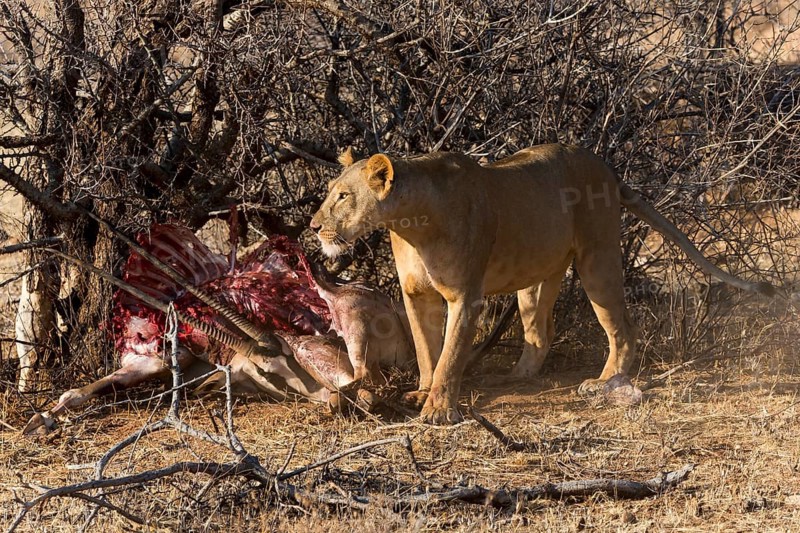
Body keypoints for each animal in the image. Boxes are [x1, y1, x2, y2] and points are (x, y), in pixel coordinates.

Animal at [310, 144, 775, 425]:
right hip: (536, 279)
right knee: (539, 332)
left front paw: (438, 410)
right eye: (330, 191)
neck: (411, 224)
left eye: (343, 197)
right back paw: (516, 376)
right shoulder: (417, 295)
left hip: (597, 259)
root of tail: (607, 168)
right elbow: (427, 352)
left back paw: (606, 383)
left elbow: (450, 354)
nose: (313, 227)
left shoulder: (466, 297)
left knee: (624, 328)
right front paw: (420, 394)